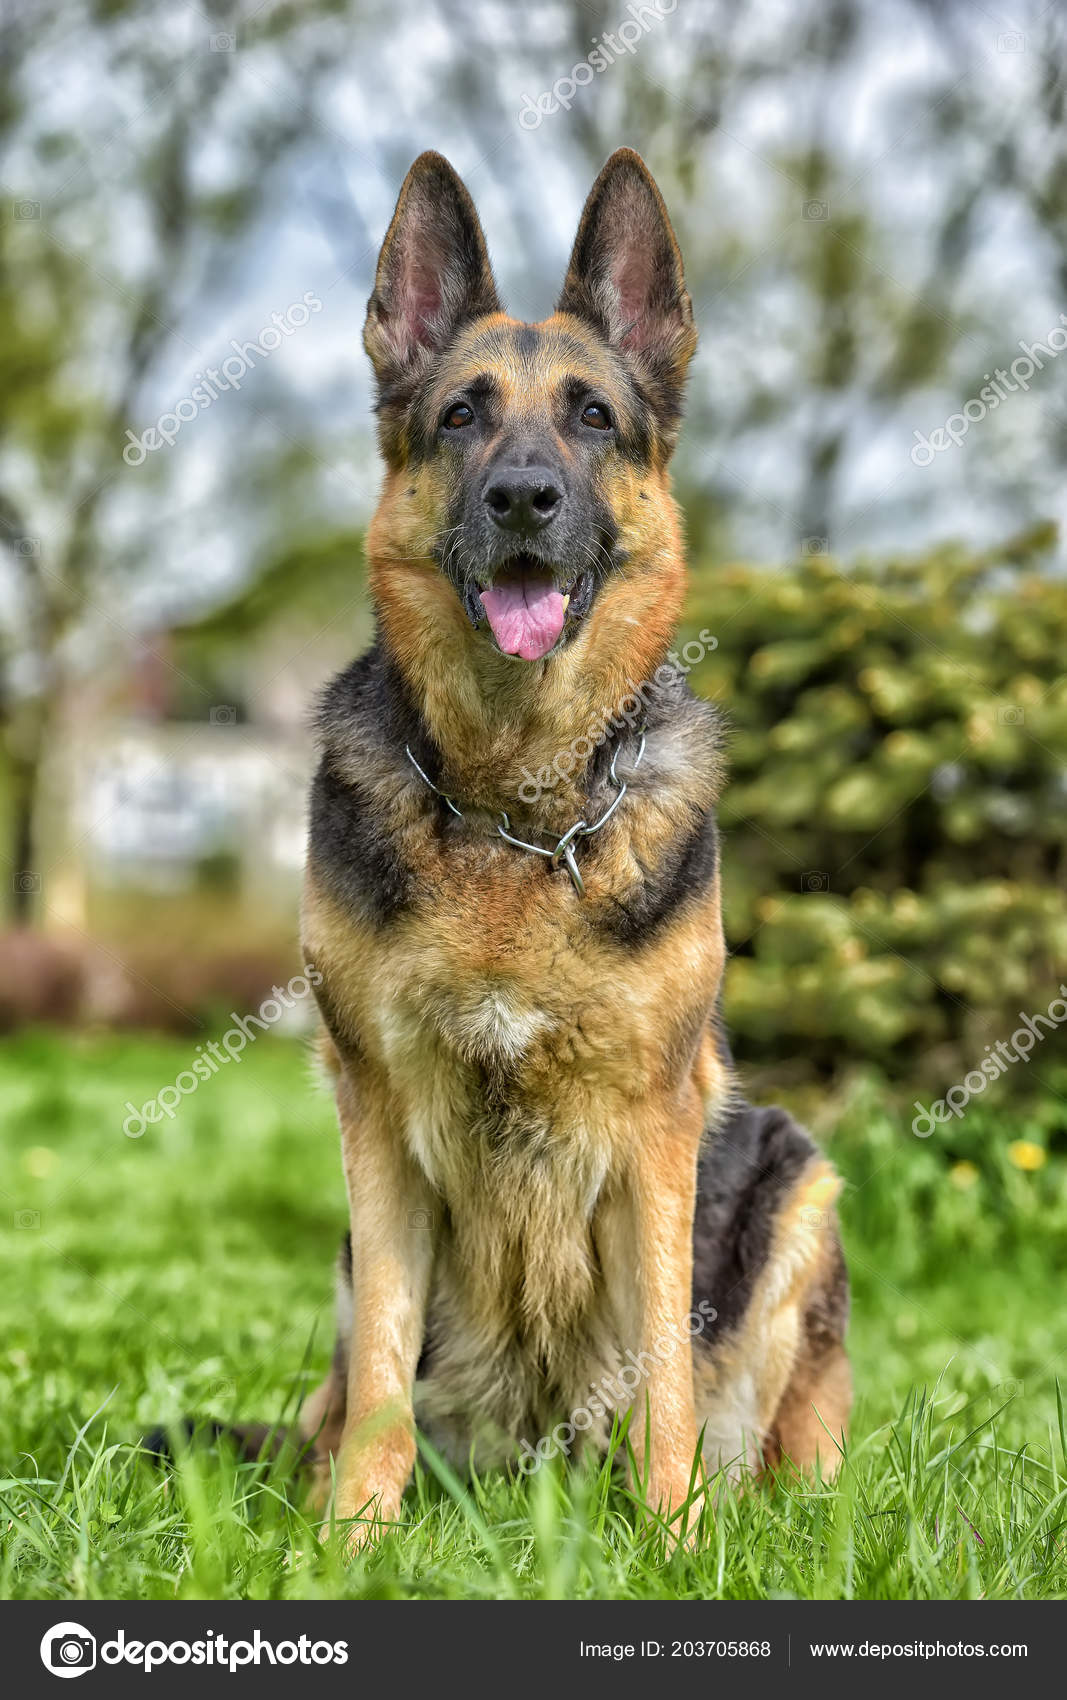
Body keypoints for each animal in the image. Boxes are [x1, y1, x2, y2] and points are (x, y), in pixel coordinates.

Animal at [288, 153, 842, 1550]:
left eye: (592, 417)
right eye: (461, 417)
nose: (522, 499)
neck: (516, 805)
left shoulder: (653, 1131)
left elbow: (662, 1367)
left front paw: (678, 1537)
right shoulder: (376, 1120)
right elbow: (380, 1364)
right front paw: (350, 1540)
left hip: (797, 1183)